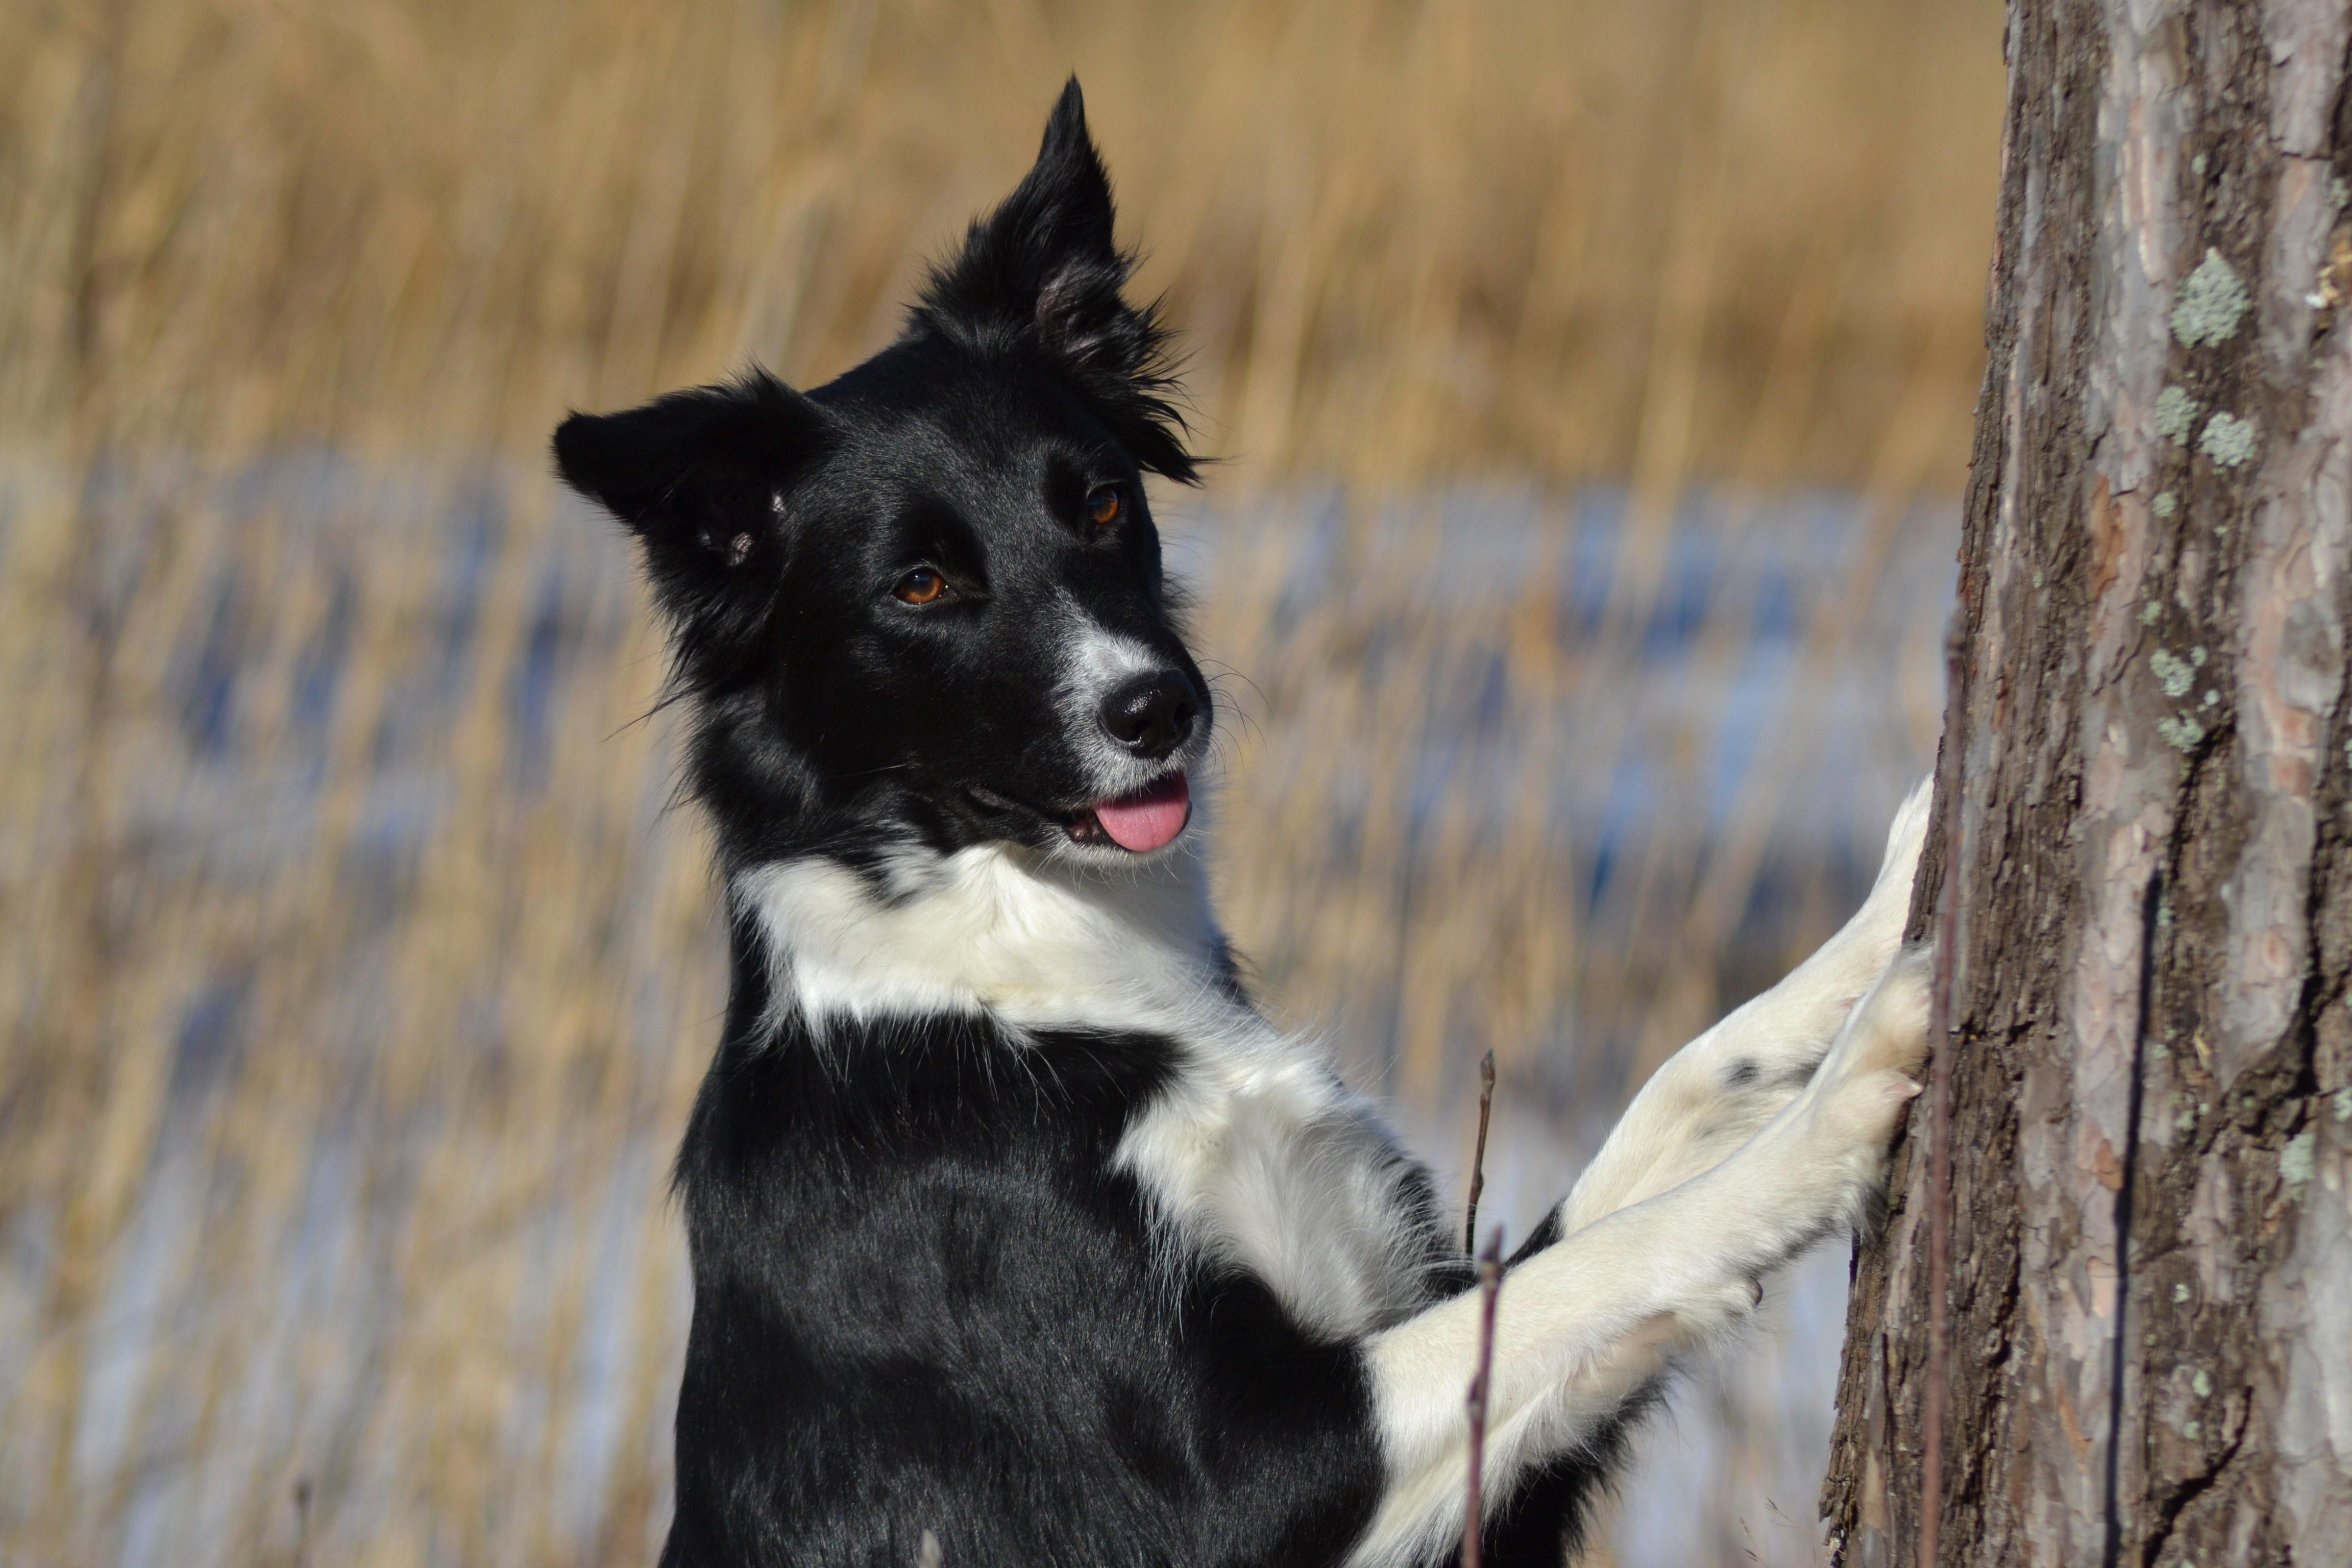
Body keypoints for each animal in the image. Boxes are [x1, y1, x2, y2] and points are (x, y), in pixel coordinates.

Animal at [555, 83, 1928, 1568]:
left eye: (1101, 501)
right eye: (920, 583)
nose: (1161, 707)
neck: (1029, 971)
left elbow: (1668, 1104)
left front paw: (1891, 913)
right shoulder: (1223, 1492)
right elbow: (1595, 1268)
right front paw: (1838, 1113)